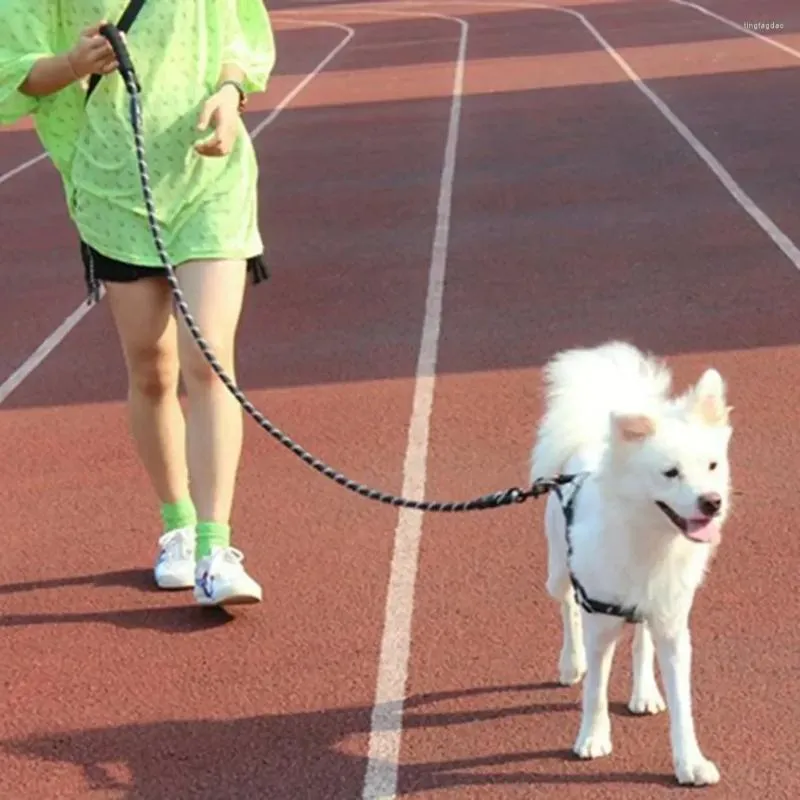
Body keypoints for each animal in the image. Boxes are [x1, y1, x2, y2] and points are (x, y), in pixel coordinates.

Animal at [528, 340, 736, 784]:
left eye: (713, 465)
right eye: (670, 473)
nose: (712, 502)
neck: (652, 538)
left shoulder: (672, 623)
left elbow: (682, 703)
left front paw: (690, 763)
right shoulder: (600, 620)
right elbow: (595, 687)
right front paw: (592, 738)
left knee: (641, 639)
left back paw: (644, 693)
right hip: (558, 572)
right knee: (566, 607)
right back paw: (571, 664)